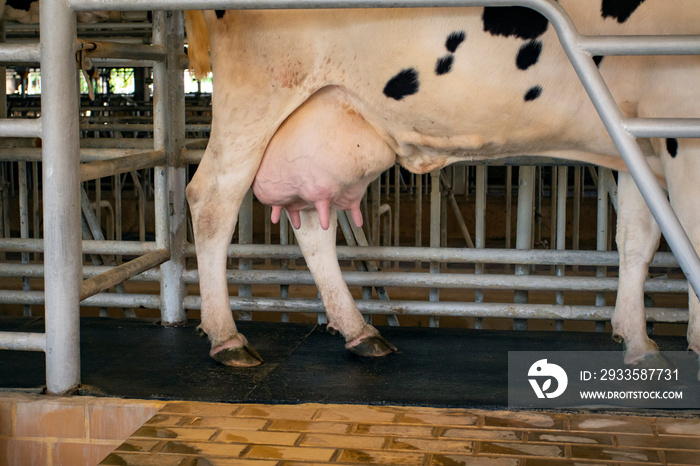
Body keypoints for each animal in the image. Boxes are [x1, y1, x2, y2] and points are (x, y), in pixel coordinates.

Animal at [182, 0, 700, 372]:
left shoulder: (641, 141)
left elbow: (638, 240)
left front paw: (639, 340)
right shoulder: (680, 126)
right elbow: (689, 237)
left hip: (322, 118)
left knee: (311, 220)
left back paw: (360, 332)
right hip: (260, 91)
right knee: (212, 199)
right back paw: (226, 338)